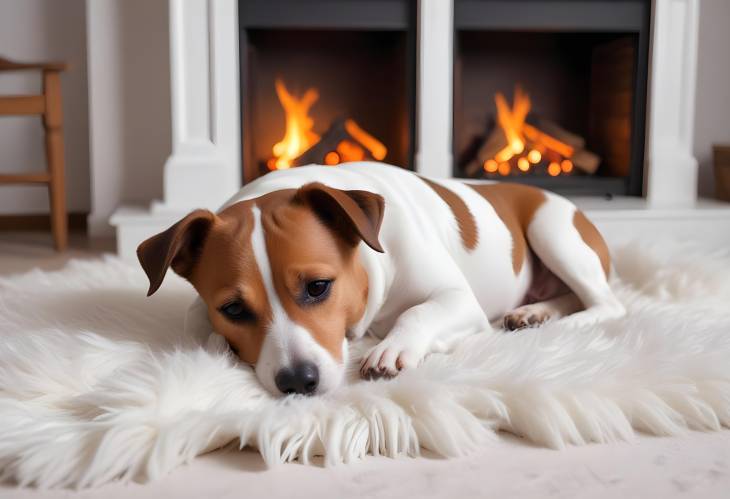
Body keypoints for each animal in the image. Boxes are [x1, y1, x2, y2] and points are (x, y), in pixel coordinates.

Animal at [138, 162, 624, 396]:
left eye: (318, 287)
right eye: (234, 309)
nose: (297, 381)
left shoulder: (457, 300)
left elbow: (418, 313)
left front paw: (393, 348)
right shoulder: (201, 307)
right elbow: (198, 324)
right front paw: (220, 349)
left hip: (552, 230)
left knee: (607, 305)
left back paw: (561, 324)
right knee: (571, 297)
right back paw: (535, 312)